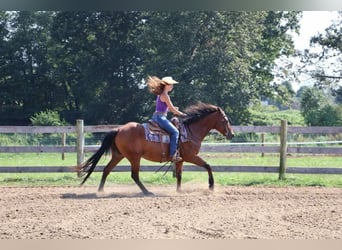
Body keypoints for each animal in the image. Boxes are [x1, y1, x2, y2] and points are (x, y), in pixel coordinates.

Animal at [76, 102, 234, 195]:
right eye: (225, 120)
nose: (231, 134)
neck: (189, 132)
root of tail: (119, 129)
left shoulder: (180, 159)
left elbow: (179, 175)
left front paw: (179, 191)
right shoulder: (190, 156)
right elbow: (207, 165)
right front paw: (211, 186)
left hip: (118, 155)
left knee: (106, 169)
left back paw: (101, 191)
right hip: (134, 157)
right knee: (134, 175)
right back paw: (147, 192)